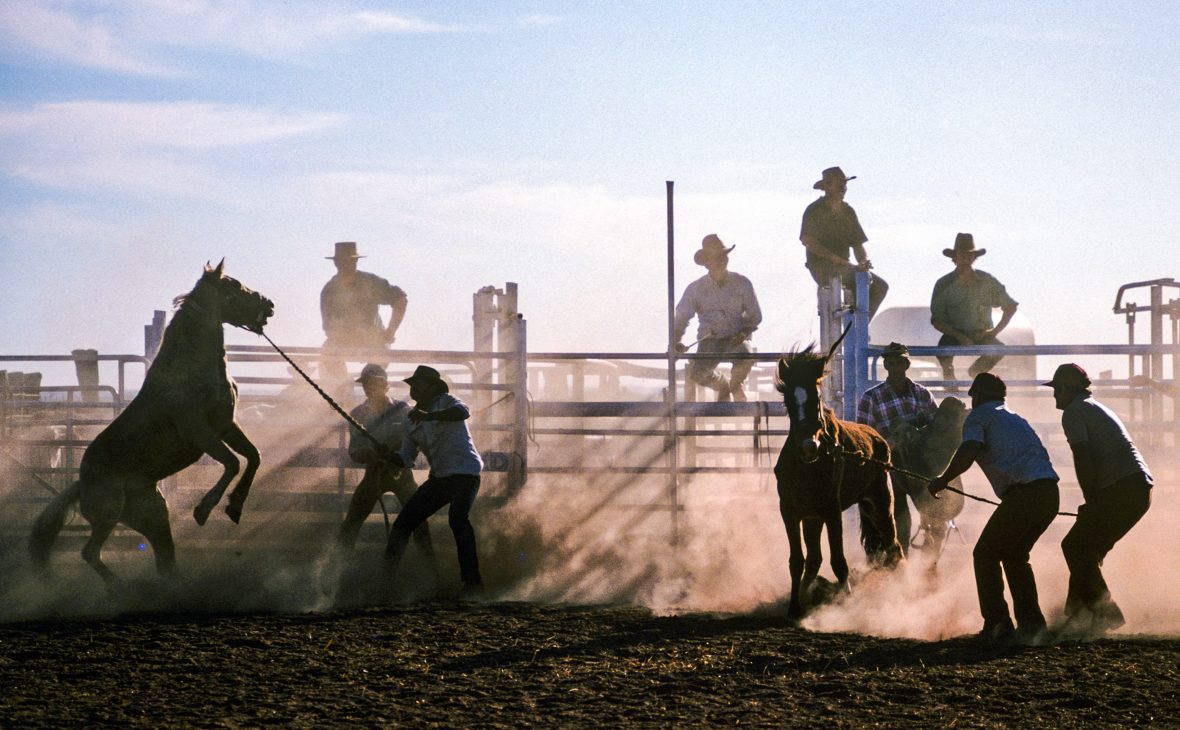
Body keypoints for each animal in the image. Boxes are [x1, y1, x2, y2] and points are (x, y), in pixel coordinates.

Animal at [31, 259, 274, 584]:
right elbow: (233, 462)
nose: (269, 305)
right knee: (90, 552)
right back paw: (120, 588)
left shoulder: (226, 425)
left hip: (154, 517)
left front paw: (235, 507)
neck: (191, 367)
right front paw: (204, 508)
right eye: (234, 285)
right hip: (110, 512)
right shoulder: (198, 429)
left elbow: (253, 457)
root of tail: (81, 483)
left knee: (164, 560)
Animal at [774, 337, 901, 617]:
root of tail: (877, 437)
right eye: (789, 401)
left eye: (817, 397)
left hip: (880, 503)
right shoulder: (789, 511)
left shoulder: (832, 511)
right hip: (813, 518)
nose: (809, 446)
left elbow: (839, 561)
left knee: (894, 546)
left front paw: (847, 602)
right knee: (813, 559)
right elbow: (796, 561)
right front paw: (794, 607)